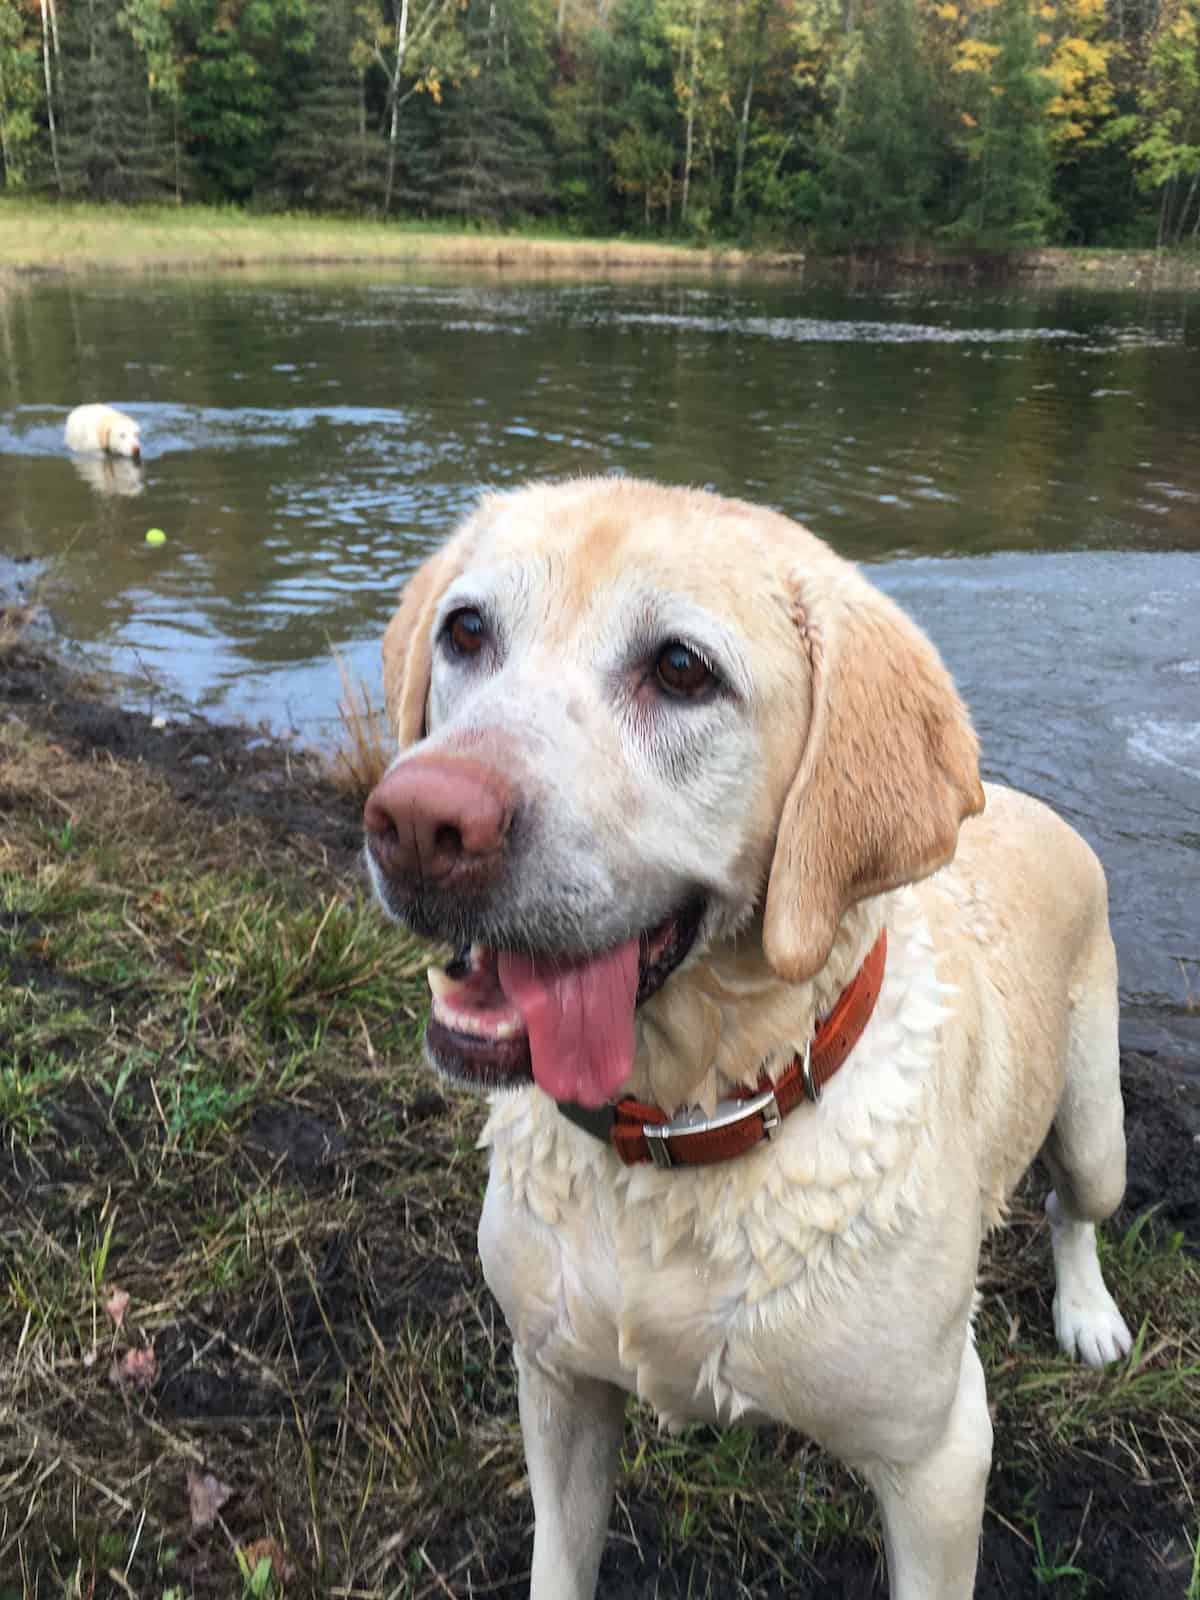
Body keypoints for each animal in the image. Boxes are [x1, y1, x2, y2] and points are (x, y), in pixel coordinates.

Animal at [361, 473, 1132, 1600]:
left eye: (682, 669)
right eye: (466, 631)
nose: (418, 822)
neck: (681, 1125)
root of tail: (1022, 802)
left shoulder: (942, 1457)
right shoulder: (556, 1384)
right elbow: (561, 1556)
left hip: (1096, 1124)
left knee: (1074, 1209)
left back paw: (1089, 1315)